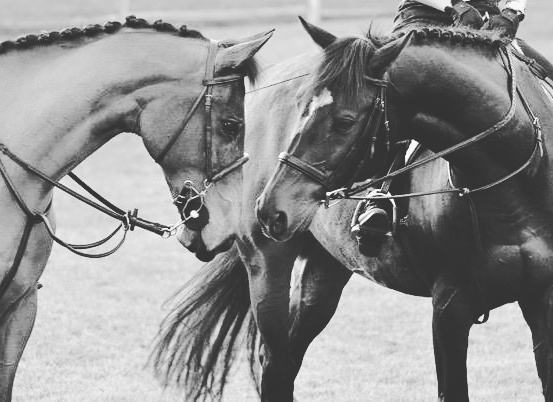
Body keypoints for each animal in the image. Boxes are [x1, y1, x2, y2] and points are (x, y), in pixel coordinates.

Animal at [153, 17, 552, 402]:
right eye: (302, 106)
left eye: (345, 121)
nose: (270, 209)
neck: (515, 183)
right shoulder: (450, 306)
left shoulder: (541, 300)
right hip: (267, 264)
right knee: (277, 364)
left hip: (324, 270)